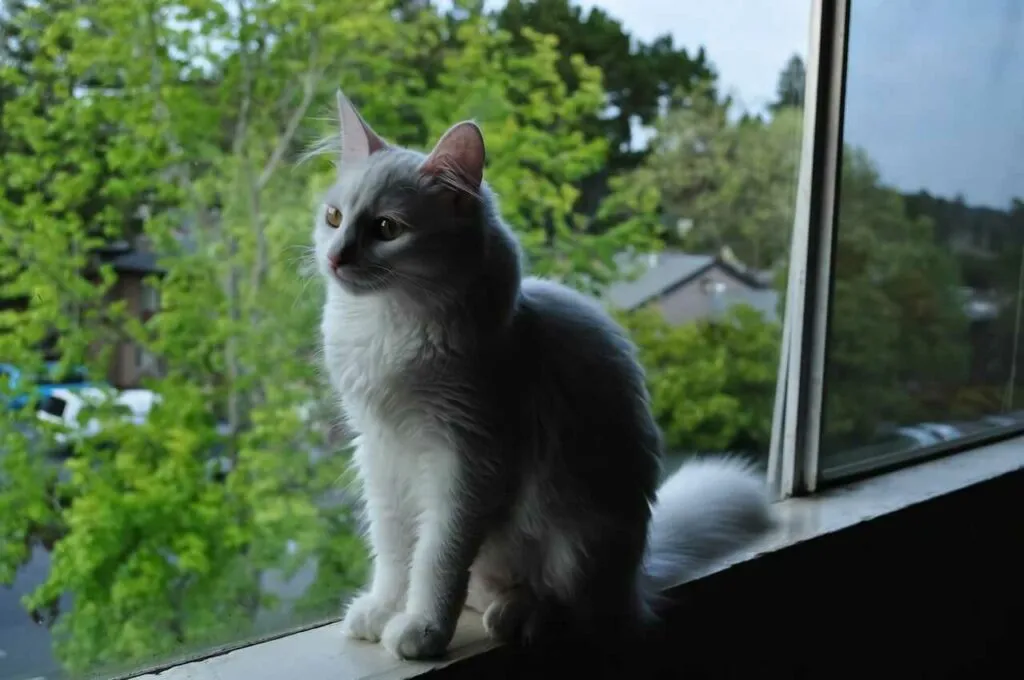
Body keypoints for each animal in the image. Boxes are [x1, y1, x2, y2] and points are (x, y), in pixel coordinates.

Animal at [313, 90, 774, 663]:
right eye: (334, 218)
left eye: (385, 229)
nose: (335, 257)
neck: (389, 324)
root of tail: (636, 581)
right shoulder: (381, 452)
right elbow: (395, 550)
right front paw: (383, 609)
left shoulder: (466, 460)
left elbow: (436, 557)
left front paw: (422, 629)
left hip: (574, 539)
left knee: (566, 604)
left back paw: (520, 617)